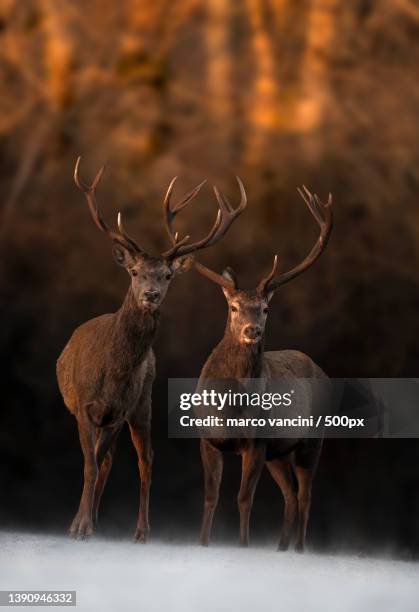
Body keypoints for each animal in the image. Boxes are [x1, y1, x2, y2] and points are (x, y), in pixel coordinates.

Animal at [55, 159, 246, 540]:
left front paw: (82, 524)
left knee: (145, 460)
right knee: (106, 460)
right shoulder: (84, 406)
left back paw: (141, 530)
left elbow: (95, 464)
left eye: (167, 275)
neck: (111, 373)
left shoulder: (120, 409)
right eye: (134, 271)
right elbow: (90, 465)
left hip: (143, 403)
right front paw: (80, 524)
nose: (151, 295)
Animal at [185, 184, 334, 552]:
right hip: (278, 453)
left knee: (305, 495)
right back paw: (281, 548)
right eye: (234, 307)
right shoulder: (208, 438)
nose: (252, 330)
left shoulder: (256, 441)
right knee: (291, 495)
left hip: (311, 439)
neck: (231, 407)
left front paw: (244, 546)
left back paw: (299, 549)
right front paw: (202, 544)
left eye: (265, 308)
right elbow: (210, 496)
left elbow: (243, 498)